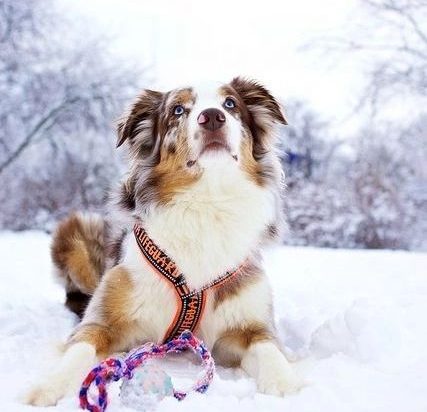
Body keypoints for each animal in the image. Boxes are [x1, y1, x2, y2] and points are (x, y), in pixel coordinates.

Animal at [25, 77, 302, 406]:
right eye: (178, 110)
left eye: (230, 104)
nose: (212, 117)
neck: (206, 202)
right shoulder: (100, 323)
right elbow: (78, 349)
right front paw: (49, 386)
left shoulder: (253, 326)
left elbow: (270, 349)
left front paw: (285, 384)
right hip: (75, 230)